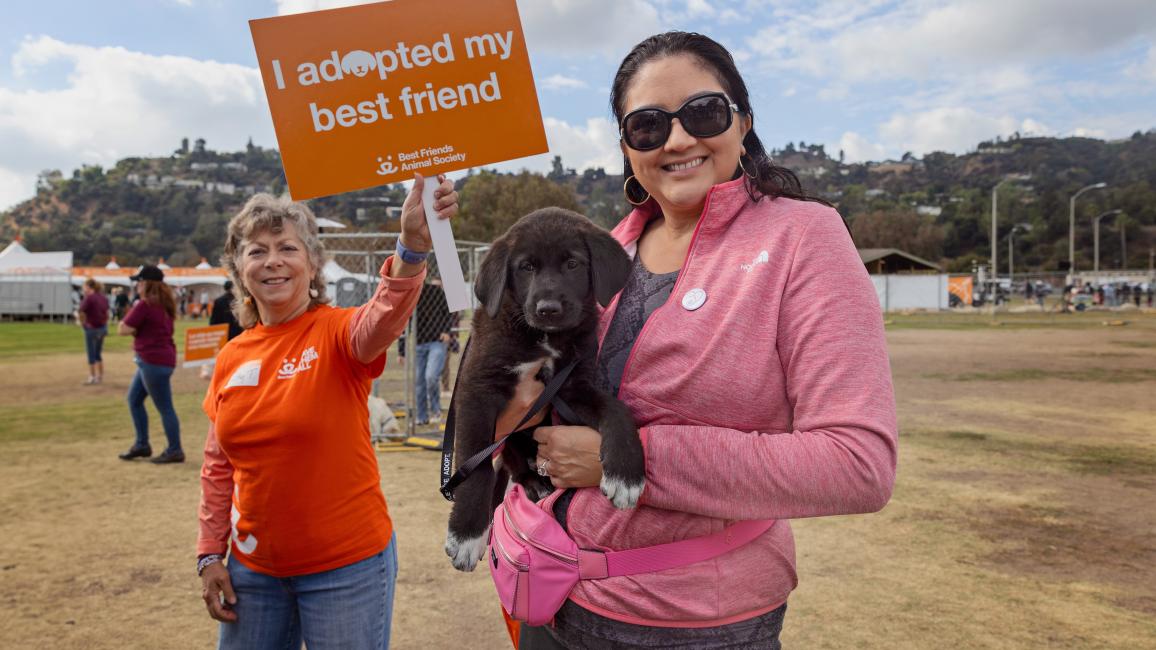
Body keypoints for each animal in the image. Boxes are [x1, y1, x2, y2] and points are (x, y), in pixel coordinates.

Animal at [443, 205, 647, 566]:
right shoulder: (477, 389)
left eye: (573, 263)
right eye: (526, 267)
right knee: (509, 464)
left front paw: (626, 474)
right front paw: (466, 535)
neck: (545, 340)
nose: (548, 309)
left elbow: (616, 410)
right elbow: (476, 465)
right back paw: (533, 483)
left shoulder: (572, 386)